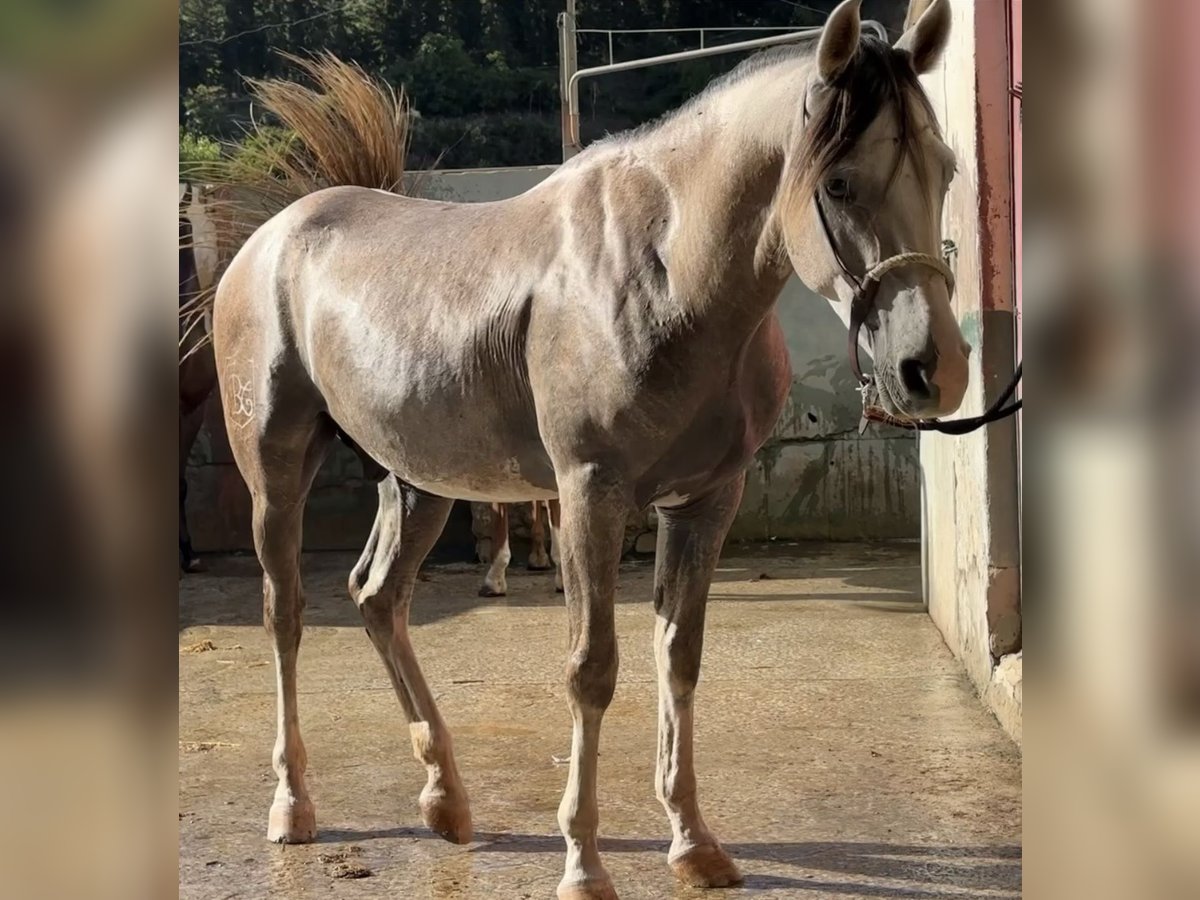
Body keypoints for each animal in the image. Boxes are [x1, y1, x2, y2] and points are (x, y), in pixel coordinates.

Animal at [213, 3, 964, 897]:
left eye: (946, 171)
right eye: (840, 181)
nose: (934, 370)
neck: (670, 275)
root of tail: (270, 239)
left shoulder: (706, 501)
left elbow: (679, 657)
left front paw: (694, 843)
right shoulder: (589, 496)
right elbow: (592, 668)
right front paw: (582, 861)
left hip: (417, 482)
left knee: (378, 600)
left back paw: (445, 797)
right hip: (276, 475)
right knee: (286, 614)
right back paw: (293, 805)